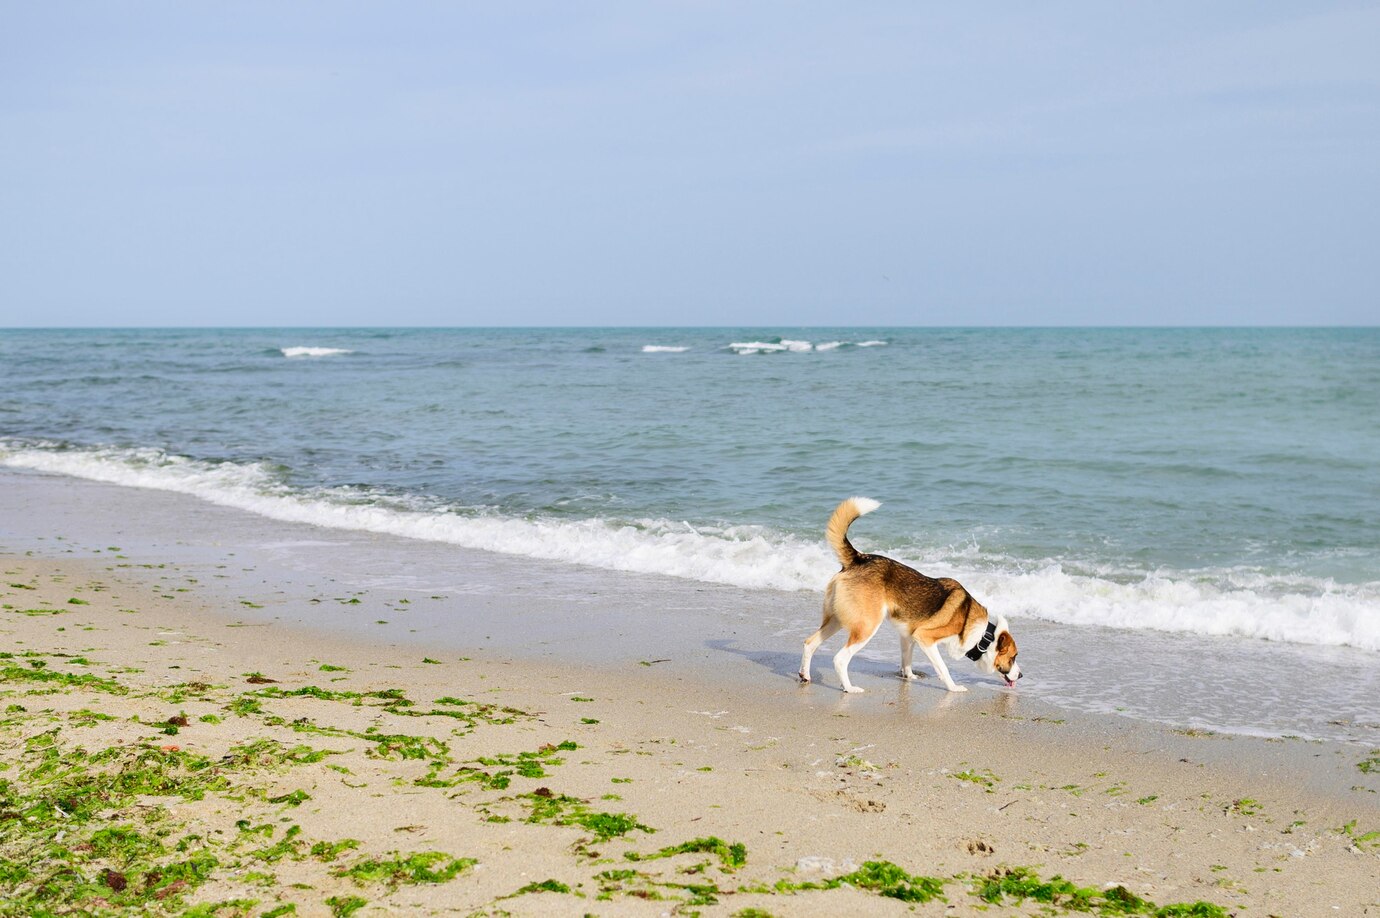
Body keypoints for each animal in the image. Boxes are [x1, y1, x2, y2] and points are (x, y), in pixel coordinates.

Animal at [805, 496, 1021, 690]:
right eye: (1013, 657)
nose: (1021, 675)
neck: (982, 634)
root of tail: (858, 558)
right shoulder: (925, 638)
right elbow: (943, 668)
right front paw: (953, 688)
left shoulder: (908, 636)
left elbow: (907, 661)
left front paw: (908, 677)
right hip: (866, 626)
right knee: (840, 659)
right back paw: (849, 688)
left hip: (836, 620)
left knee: (809, 643)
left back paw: (804, 676)